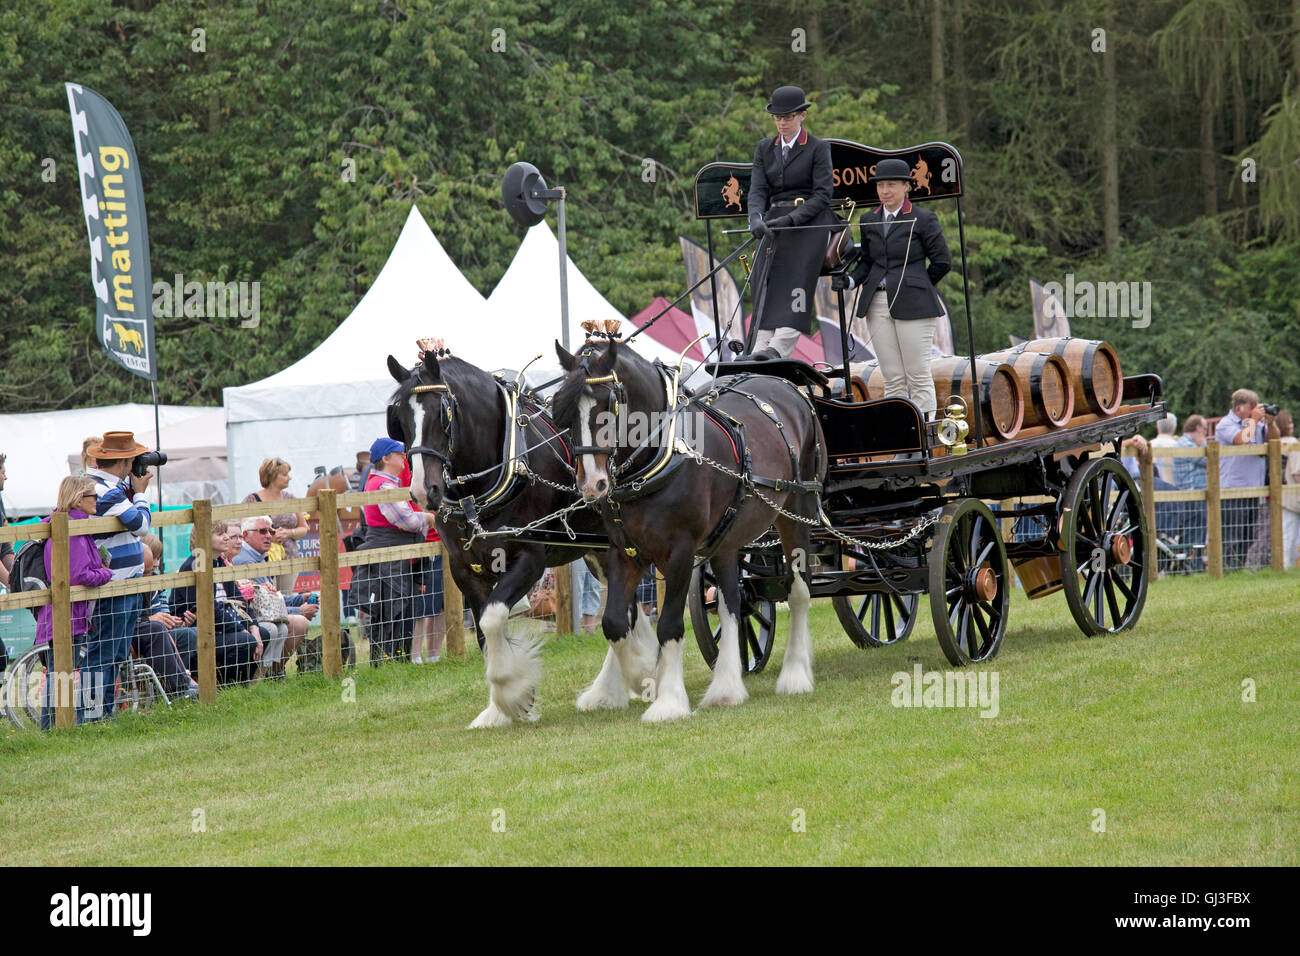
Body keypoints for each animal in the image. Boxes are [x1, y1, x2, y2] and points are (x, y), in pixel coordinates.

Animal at [379, 348, 655, 728]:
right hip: (601, 550)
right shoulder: (465, 570)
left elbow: (493, 619)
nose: (423, 490)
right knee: (626, 610)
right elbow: (483, 633)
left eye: (441, 413)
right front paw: (499, 709)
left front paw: (514, 694)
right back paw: (617, 685)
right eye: (400, 418)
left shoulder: (529, 560)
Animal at [553, 340, 826, 723]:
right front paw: (639, 677)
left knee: (799, 591)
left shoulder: (680, 553)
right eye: (563, 410)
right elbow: (614, 622)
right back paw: (727, 688)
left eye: (608, 404)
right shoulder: (625, 551)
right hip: (728, 536)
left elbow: (669, 625)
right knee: (733, 601)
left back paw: (795, 675)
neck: (661, 456)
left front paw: (666, 699)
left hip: (797, 512)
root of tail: (787, 386)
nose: (593, 485)